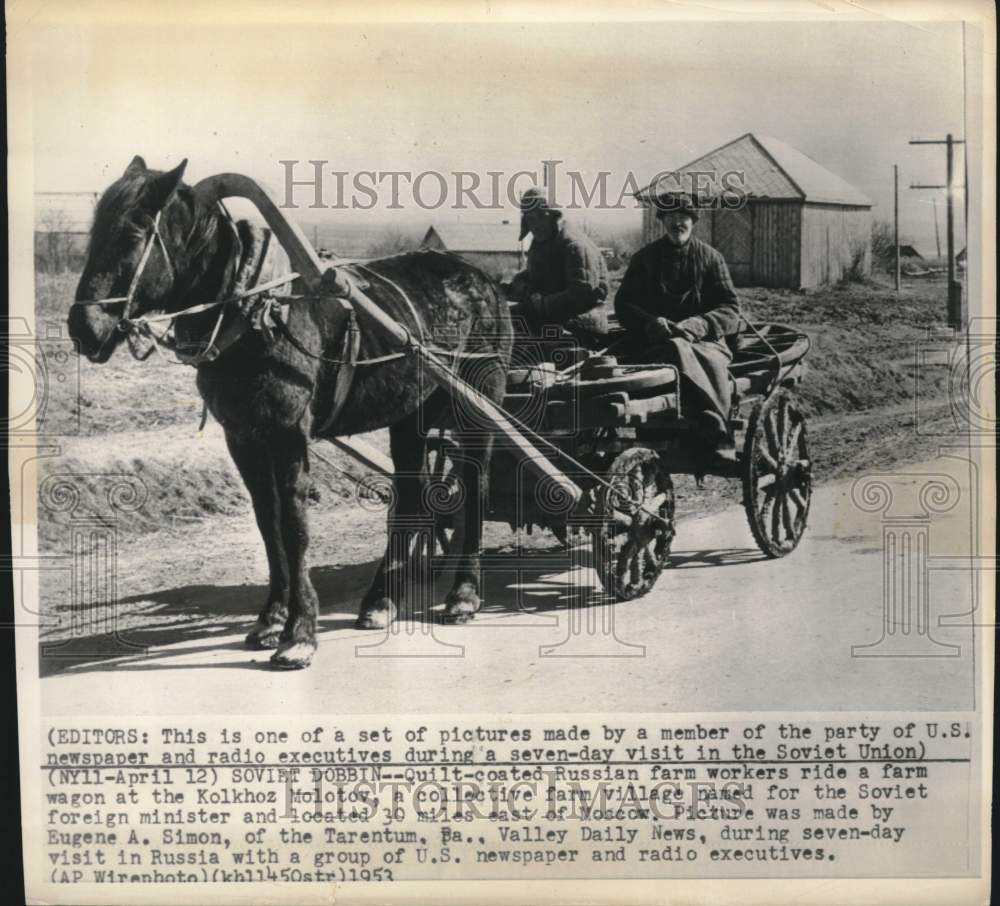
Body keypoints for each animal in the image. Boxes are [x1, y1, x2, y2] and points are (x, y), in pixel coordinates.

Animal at [68, 155, 516, 668]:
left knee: (474, 487)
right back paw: (381, 600)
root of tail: (482, 278)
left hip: (478, 403)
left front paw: (300, 632)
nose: (82, 327)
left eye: (135, 234)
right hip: (410, 414)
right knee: (410, 496)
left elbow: (294, 524)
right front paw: (271, 619)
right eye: (95, 231)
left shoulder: (287, 434)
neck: (255, 310)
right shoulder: (242, 436)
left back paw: (463, 594)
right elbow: (268, 523)